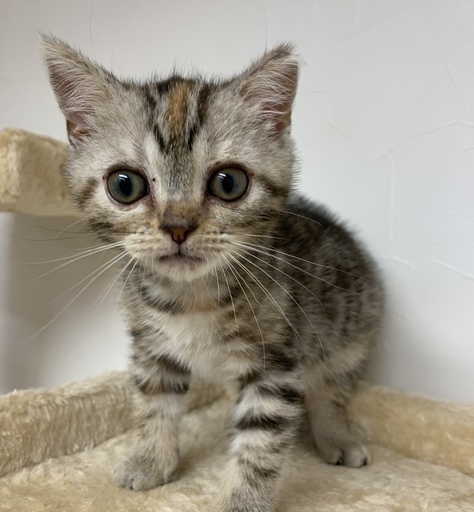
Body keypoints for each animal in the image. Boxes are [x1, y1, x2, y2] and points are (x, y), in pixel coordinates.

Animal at [44, 37, 384, 512]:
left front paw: (242, 499)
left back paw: (337, 435)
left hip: (349, 333)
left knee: (331, 387)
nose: (177, 227)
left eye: (229, 183)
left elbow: (261, 442)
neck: (191, 296)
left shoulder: (275, 362)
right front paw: (152, 460)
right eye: (124, 185)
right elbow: (155, 404)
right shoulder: (152, 348)